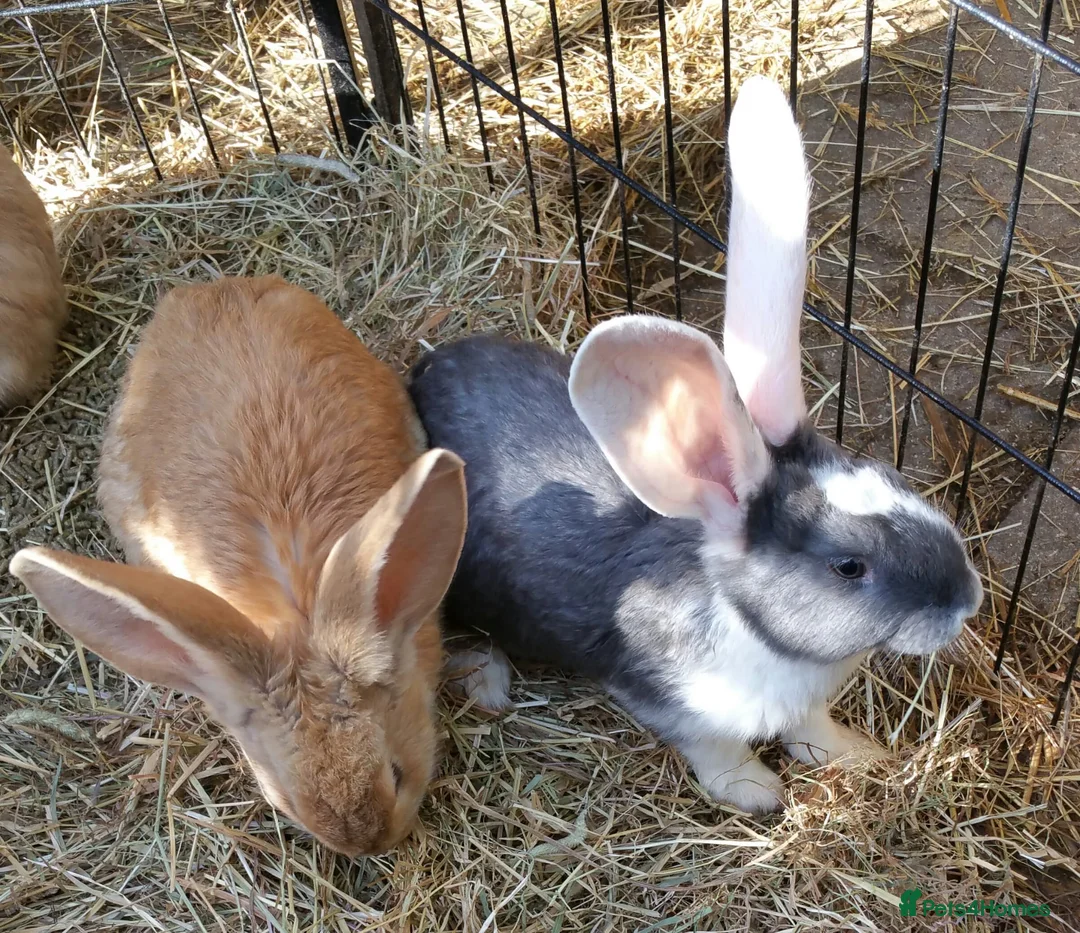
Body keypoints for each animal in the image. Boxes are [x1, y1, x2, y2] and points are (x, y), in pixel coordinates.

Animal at [408, 77, 983, 814]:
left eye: (892, 477)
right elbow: (719, 752)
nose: (966, 599)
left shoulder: (804, 706)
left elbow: (813, 730)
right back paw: (488, 681)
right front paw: (760, 793)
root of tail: (425, 368)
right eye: (848, 566)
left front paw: (859, 756)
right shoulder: (672, 705)